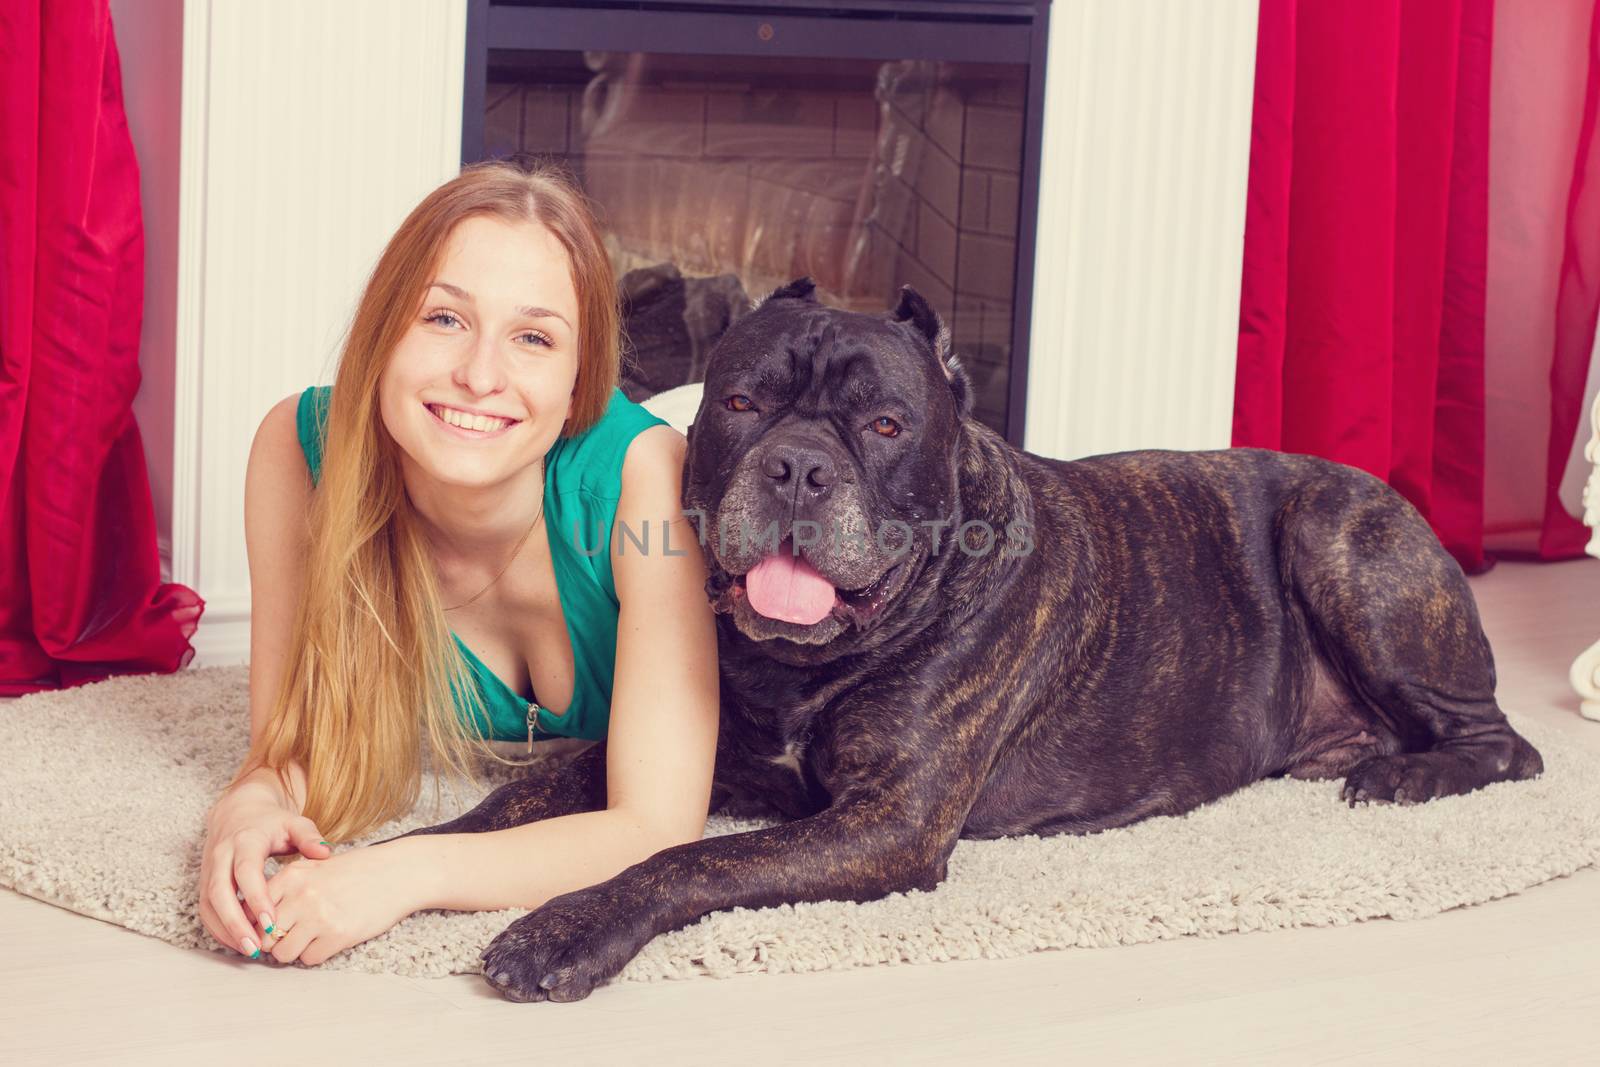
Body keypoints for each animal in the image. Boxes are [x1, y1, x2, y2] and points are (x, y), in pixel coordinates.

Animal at [380, 275, 1542, 1004]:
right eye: (742, 403)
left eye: (886, 425)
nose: (798, 464)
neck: (810, 661)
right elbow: (505, 808)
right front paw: (395, 861)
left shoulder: (884, 824)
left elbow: (685, 859)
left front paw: (562, 926)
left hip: (1335, 539)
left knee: (1505, 744)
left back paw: (1407, 778)